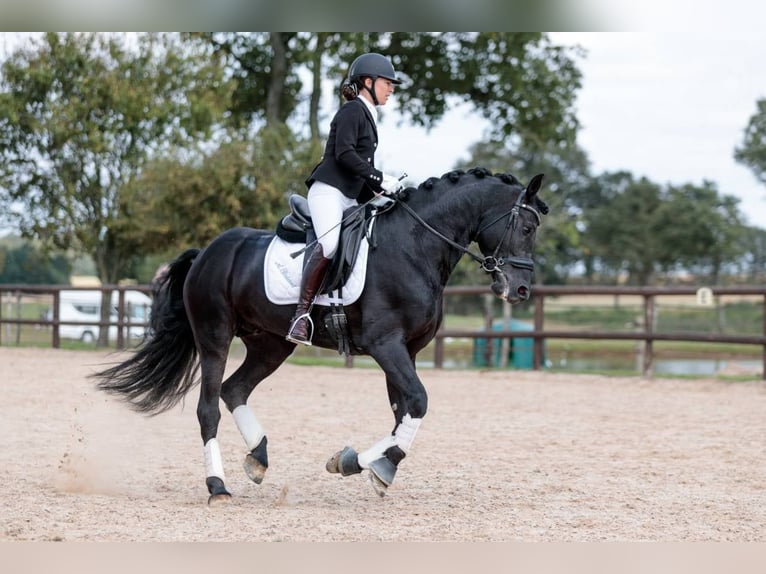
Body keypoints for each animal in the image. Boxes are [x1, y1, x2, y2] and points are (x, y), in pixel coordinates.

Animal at [93, 166, 544, 504]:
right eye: (525, 228)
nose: (521, 290)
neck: (415, 246)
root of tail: (207, 251)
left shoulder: (407, 351)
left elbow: (403, 411)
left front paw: (362, 463)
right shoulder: (386, 345)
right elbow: (417, 401)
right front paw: (373, 465)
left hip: (271, 344)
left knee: (234, 389)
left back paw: (258, 458)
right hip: (215, 337)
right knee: (209, 408)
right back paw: (217, 487)